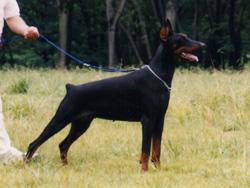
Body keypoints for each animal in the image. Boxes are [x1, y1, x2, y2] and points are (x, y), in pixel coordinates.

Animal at [24, 19, 205, 171]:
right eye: (181, 39)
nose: (203, 44)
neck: (160, 74)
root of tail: (71, 88)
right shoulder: (147, 120)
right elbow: (146, 151)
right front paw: (144, 172)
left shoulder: (160, 119)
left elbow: (156, 150)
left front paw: (159, 170)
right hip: (62, 118)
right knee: (34, 143)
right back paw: (26, 166)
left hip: (81, 123)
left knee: (63, 145)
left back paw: (66, 167)